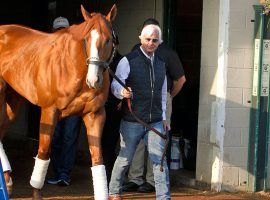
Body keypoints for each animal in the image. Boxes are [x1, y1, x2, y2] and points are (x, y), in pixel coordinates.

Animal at [0, 3, 117, 200]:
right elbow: (44, 152)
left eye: (108, 40)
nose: (94, 80)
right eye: (87, 39)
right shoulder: (49, 111)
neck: (72, 67)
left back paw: (7, 180)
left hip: (13, 100)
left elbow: (97, 160)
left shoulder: (95, 115)